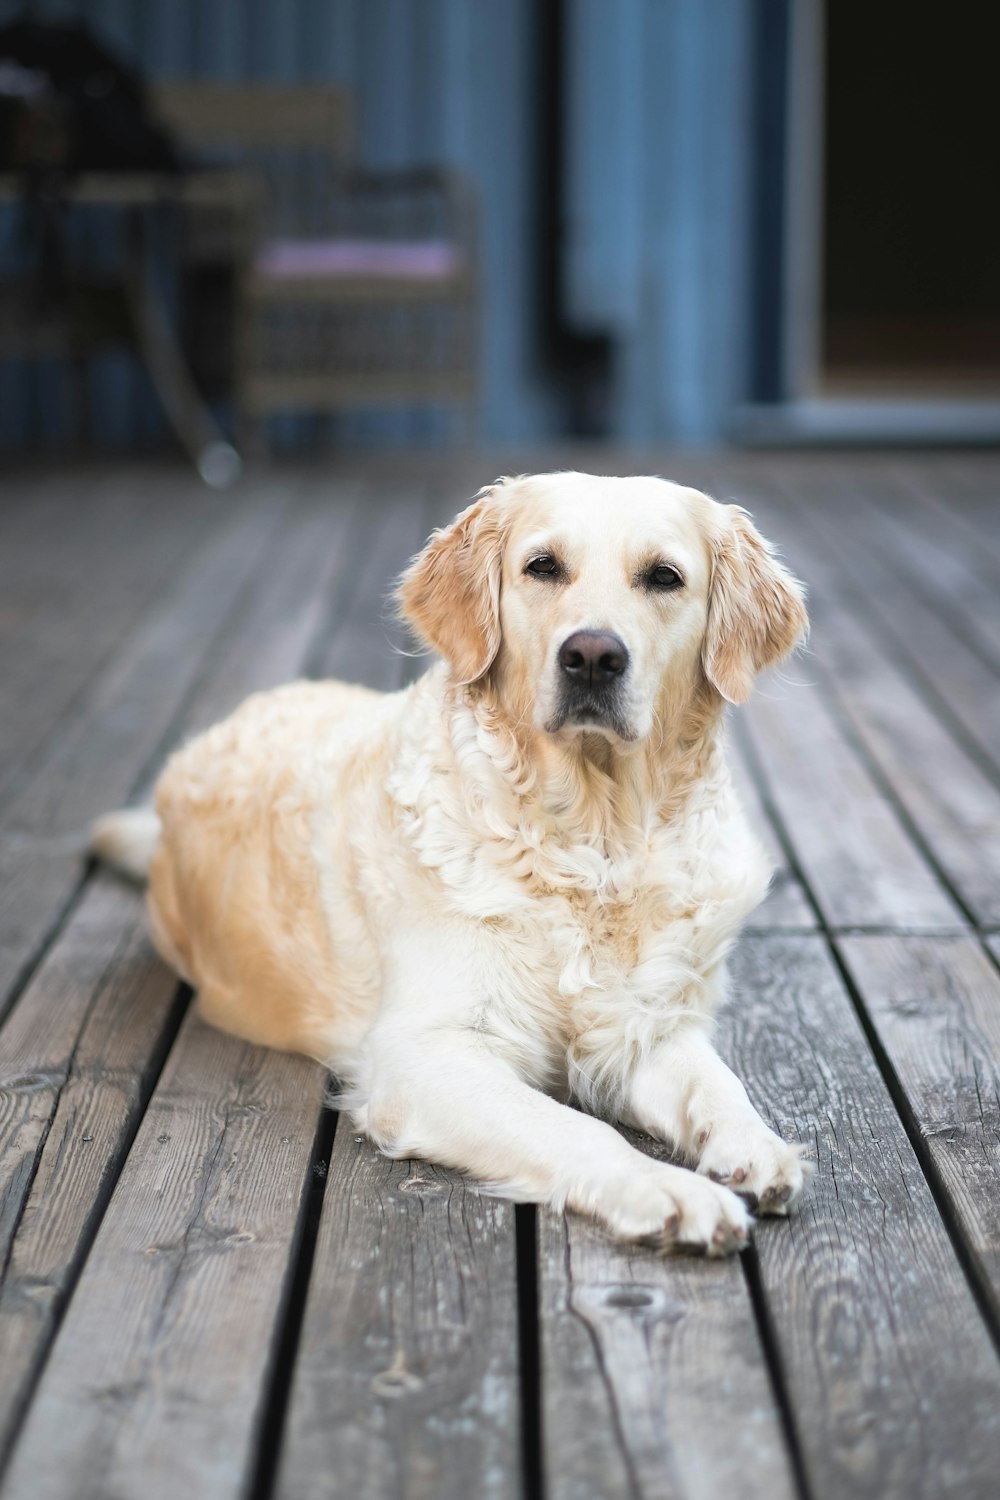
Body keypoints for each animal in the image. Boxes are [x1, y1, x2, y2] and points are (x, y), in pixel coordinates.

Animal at [93, 471, 809, 1254]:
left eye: (664, 577)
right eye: (542, 567)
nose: (592, 656)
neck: (595, 843)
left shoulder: (643, 1026)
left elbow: (715, 1081)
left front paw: (756, 1146)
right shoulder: (422, 1057)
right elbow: (575, 1128)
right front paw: (669, 1191)